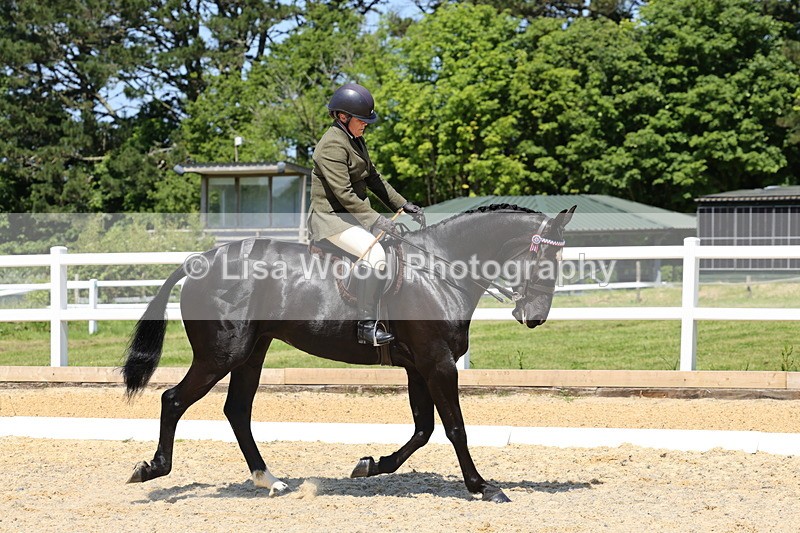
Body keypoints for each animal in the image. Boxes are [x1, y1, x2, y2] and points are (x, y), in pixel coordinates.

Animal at [122, 203, 576, 503]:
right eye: (546, 259)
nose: (535, 317)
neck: (440, 270)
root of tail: (199, 260)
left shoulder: (419, 366)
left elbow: (423, 429)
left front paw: (371, 465)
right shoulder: (438, 363)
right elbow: (454, 428)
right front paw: (482, 487)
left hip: (251, 353)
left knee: (236, 410)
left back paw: (271, 481)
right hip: (221, 355)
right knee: (173, 399)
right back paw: (151, 469)